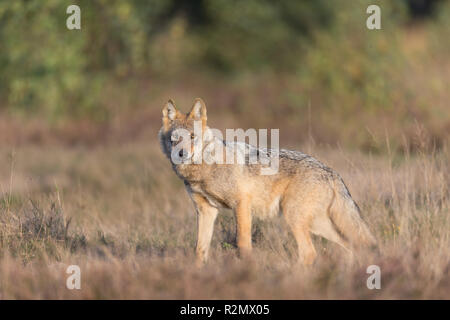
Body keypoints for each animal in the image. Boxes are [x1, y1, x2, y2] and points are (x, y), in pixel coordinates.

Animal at [158, 97, 376, 264]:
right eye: (174, 139)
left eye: (192, 136)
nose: (181, 154)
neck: (204, 170)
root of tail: (331, 171)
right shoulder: (206, 211)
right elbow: (200, 250)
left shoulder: (241, 204)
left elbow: (243, 244)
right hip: (317, 225)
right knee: (349, 247)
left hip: (295, 218)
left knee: (309, 253)